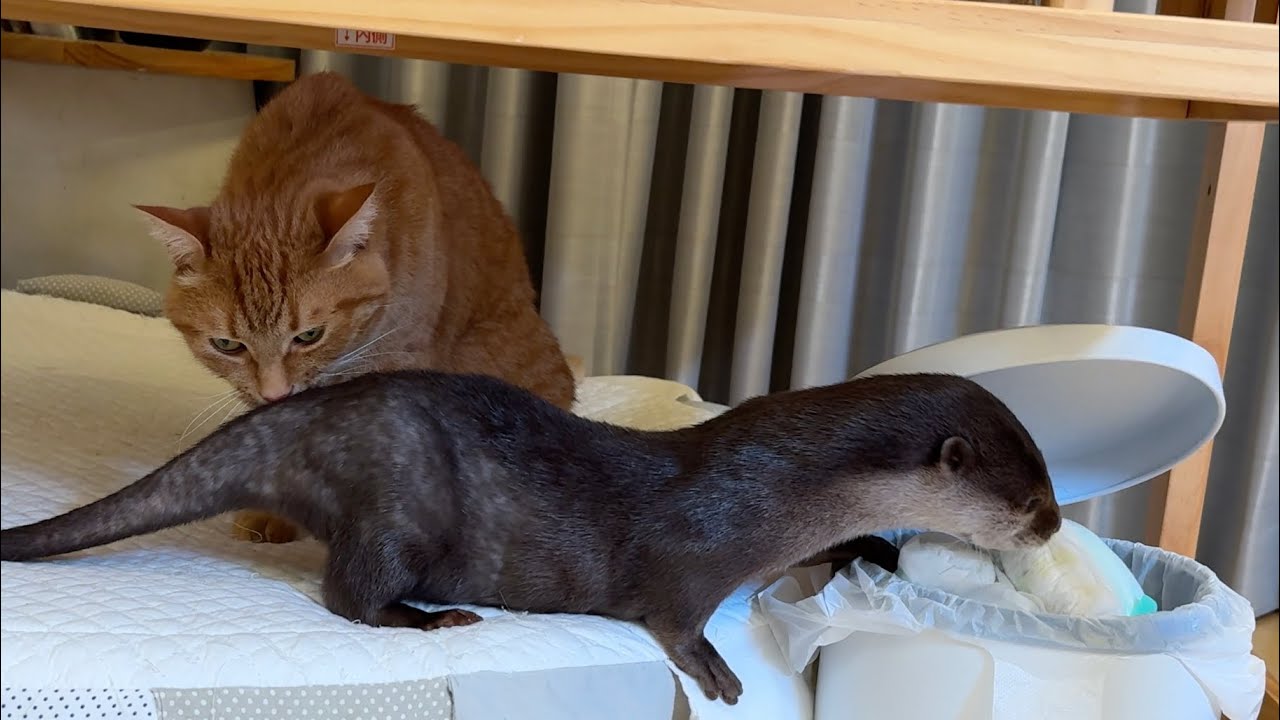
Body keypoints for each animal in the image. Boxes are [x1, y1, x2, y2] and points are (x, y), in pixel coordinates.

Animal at [0, 371, 1061, 704]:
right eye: (1029, 492)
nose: (1053, 525)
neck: (778, 490)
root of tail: (306, 415)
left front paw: (873, 549)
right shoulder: (697, 551)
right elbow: (673, 615)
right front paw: (716, 672)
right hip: (396, 497)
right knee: (349, 593)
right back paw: (429, 619)